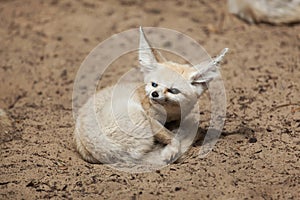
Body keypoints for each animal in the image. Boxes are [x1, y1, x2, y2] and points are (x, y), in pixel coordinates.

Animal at [74, 26, 227, 167]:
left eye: (173, 90)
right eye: (154, 84)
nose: (154, 94)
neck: (170, 112)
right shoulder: (151, 119)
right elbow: (172, 137)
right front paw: (170, 151)